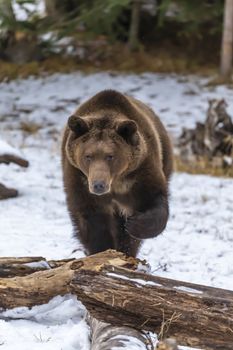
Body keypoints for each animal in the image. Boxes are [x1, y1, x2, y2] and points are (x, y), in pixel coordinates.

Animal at [62, 89, 173, 256]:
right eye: (88, 156)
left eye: (110, 156)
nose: (98, 185)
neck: (115, 182)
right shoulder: (79, 179)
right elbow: (91, 220)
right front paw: (102, 249)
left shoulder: (140, 172)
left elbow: (154, 200)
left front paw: (133, 225)